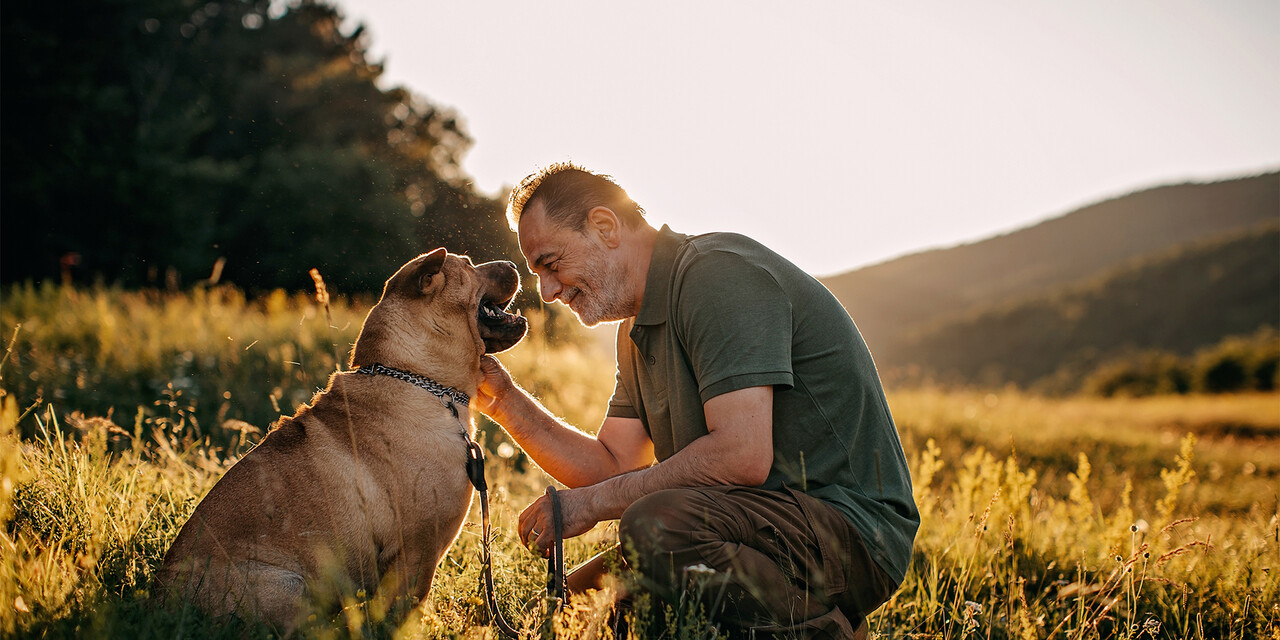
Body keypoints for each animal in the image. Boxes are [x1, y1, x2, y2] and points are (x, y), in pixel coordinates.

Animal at [157, 248, 527, 629]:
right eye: (468, 265)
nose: (515, 264)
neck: (420, 380)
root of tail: (162, 599)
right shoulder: (418, 551)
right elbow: (404, 611)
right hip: (290, 587)